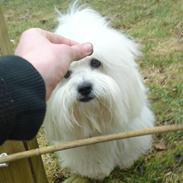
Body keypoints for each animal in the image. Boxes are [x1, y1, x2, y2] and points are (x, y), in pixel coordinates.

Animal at [43, 5, 154, 179]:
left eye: (96, 63)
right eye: (66, 74)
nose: (84, 88)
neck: (94, 115)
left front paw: (127, 161)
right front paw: (97, 172)